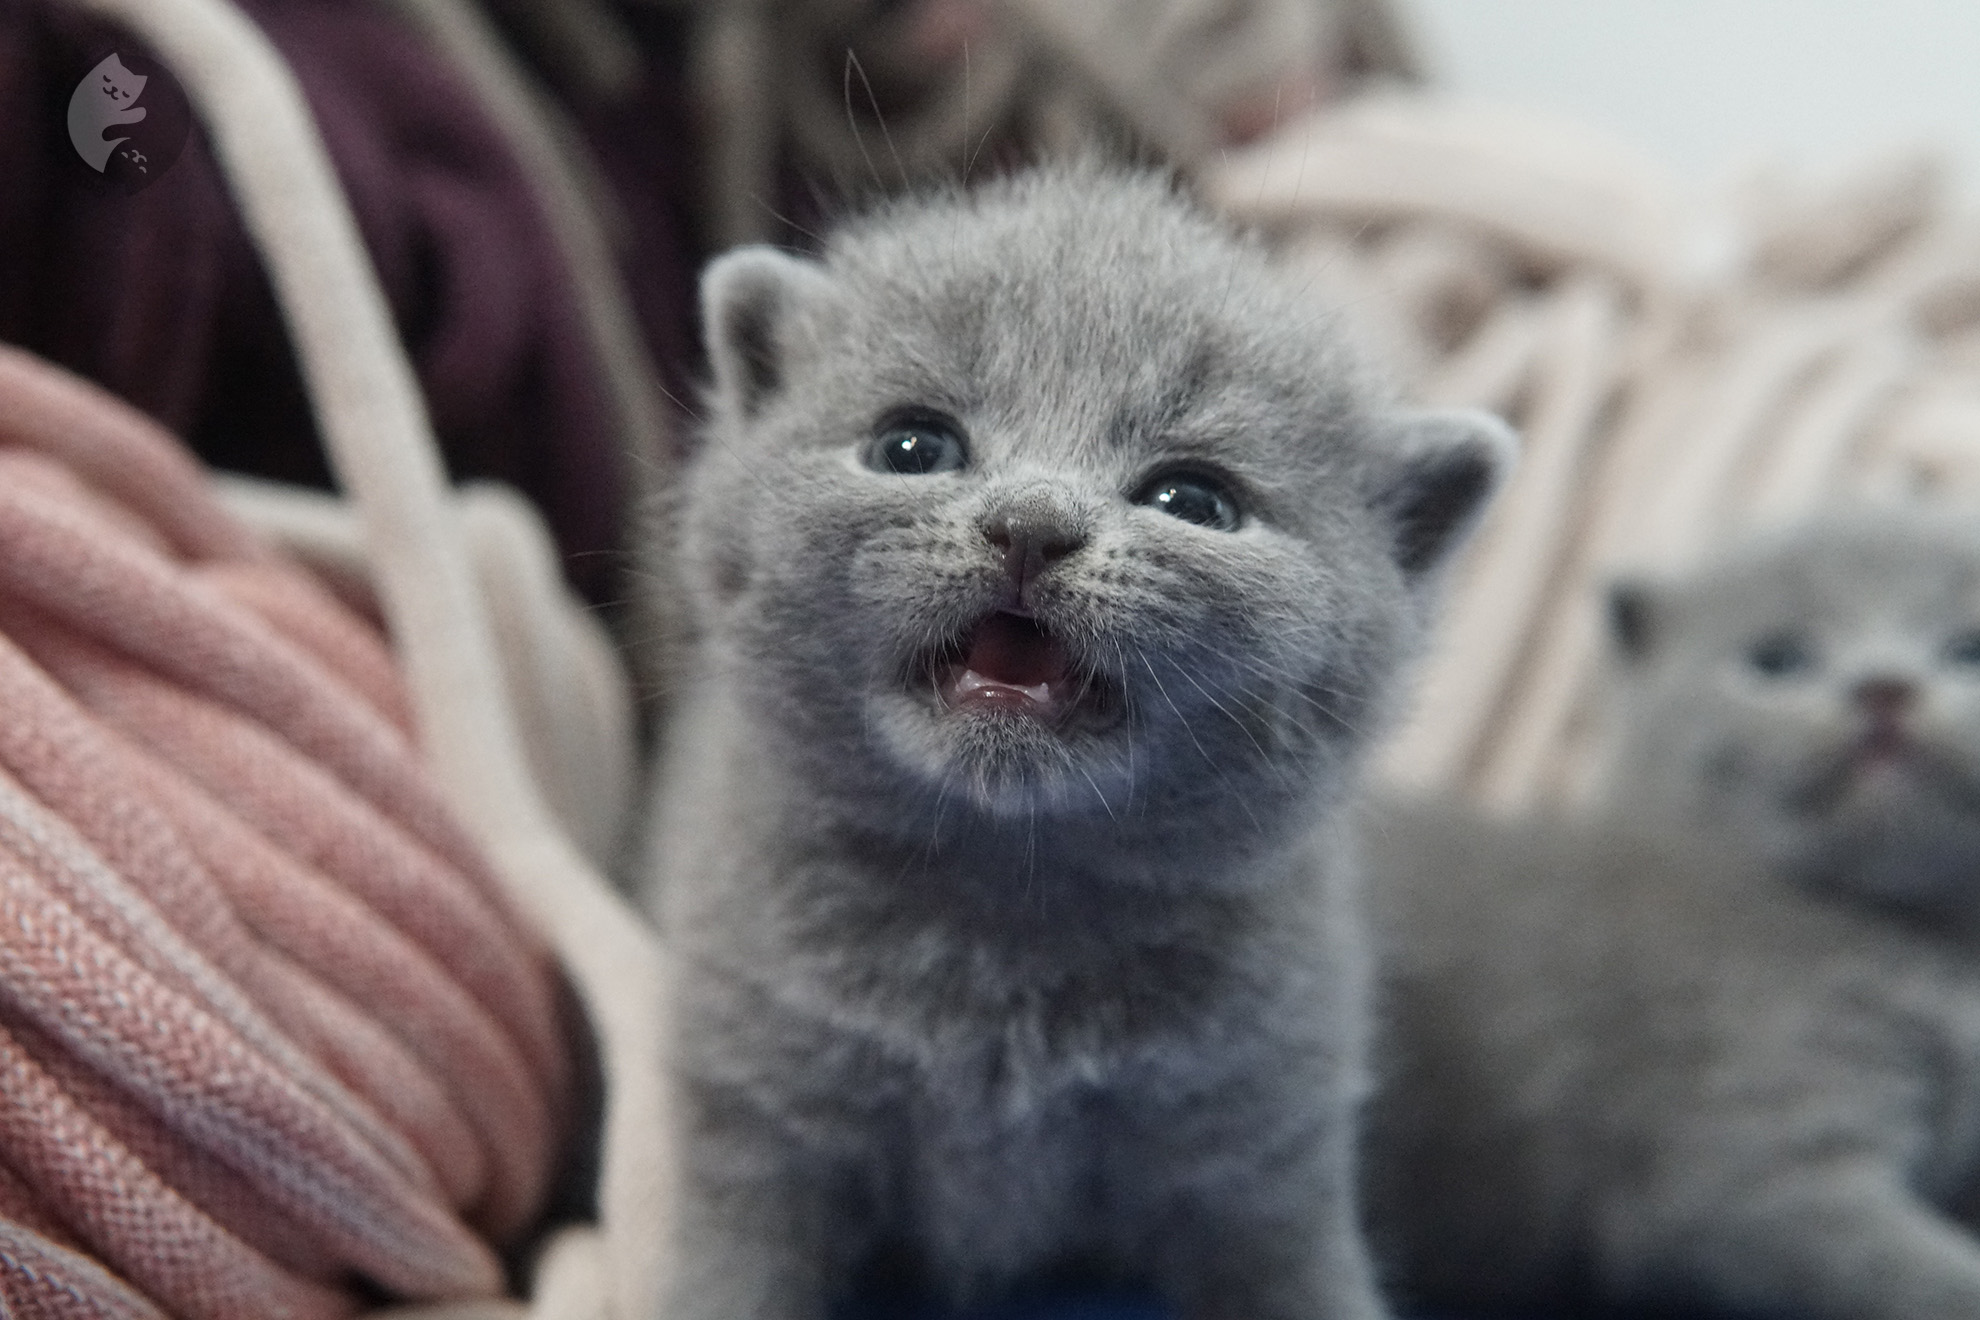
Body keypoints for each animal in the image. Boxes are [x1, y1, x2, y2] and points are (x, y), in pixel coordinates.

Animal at [641, 162, 1504, 1320]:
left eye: (1193, 498)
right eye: (913, 446)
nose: (1031, 523)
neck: (1009, 902)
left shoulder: (1261, 1150)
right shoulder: (756, 1115)